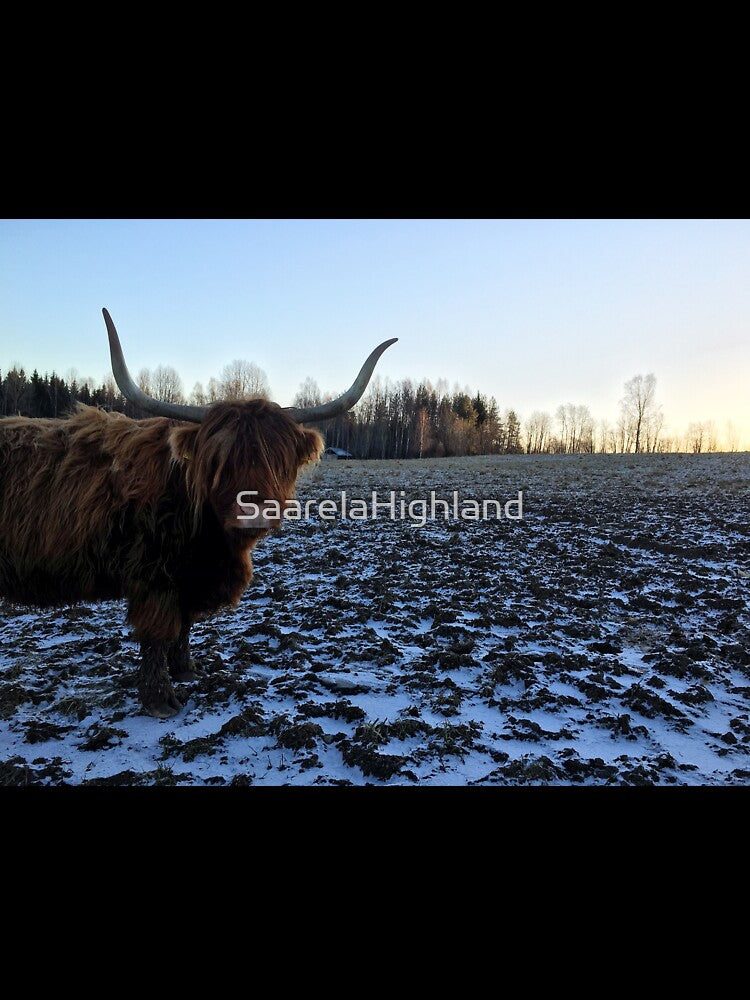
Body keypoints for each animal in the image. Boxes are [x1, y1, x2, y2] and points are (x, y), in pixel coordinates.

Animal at [0, 309, 396, 717]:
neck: (211, 539)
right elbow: (157, 635)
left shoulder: (189, 578)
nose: (254, 513)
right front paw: (161, 700)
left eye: (278, 460)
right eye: (220, 462)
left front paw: (187, 670)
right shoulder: (153, 577)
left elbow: (185, 626)